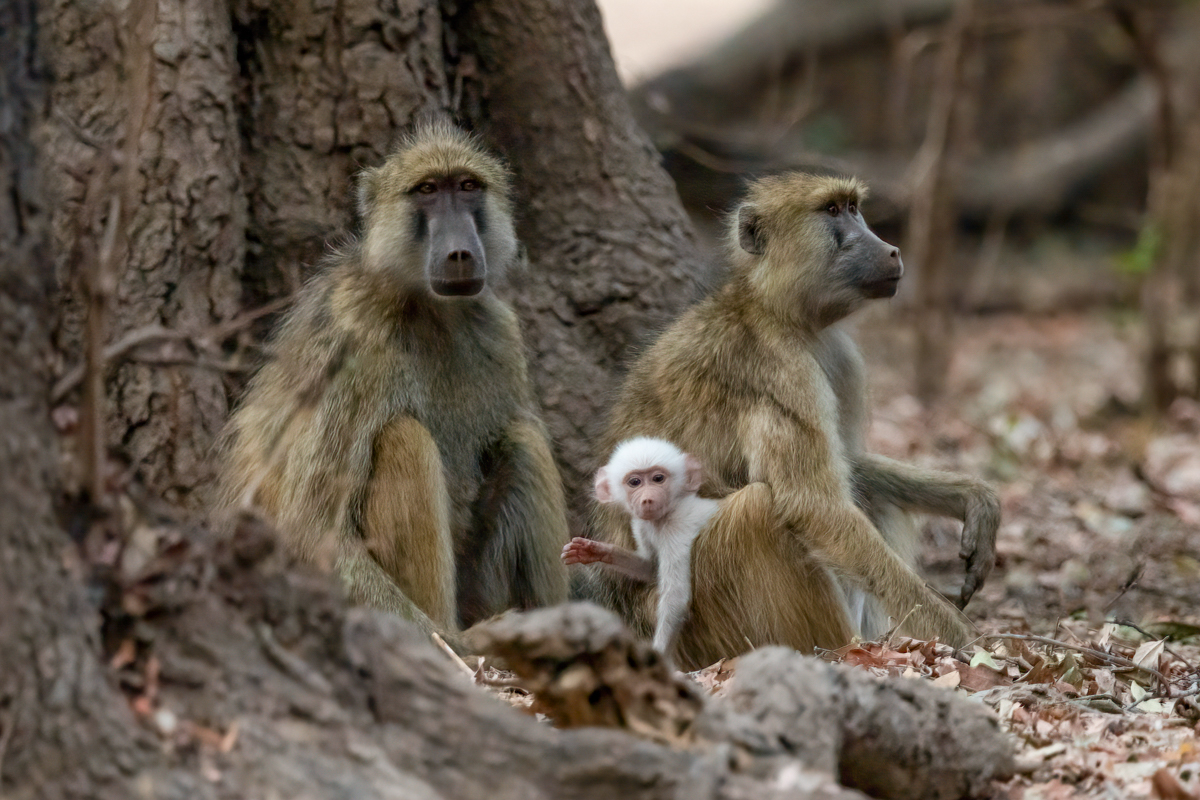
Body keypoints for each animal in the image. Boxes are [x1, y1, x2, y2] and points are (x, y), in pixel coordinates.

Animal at [218, 119, 570, 638]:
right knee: (404, 436)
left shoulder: (502, 335)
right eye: (427, 191)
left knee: (523, 438)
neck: (430, 311)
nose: (460, 253)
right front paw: (454, 648)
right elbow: (312, 534)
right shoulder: (354, 348)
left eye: (468, 187)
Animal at [562, 437, 718, 660]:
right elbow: (651, 568)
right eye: (634, 482)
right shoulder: (641, 526)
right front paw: (595, 551)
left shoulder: (676, 529)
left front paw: (658, 655)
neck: (663, 518)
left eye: (658, 478)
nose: (647, 499)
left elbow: (676, 597)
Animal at [586, 172, 1000, 665]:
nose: (891, 250)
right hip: (702, 632)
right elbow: (814, 506)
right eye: (832, 211)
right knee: (758, 510)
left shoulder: (838, 356)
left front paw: (970, 497)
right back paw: (850, 649)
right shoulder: (781, 369)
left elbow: (847, 466)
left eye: (853, 207)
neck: (778, 311)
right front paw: (965, 639)